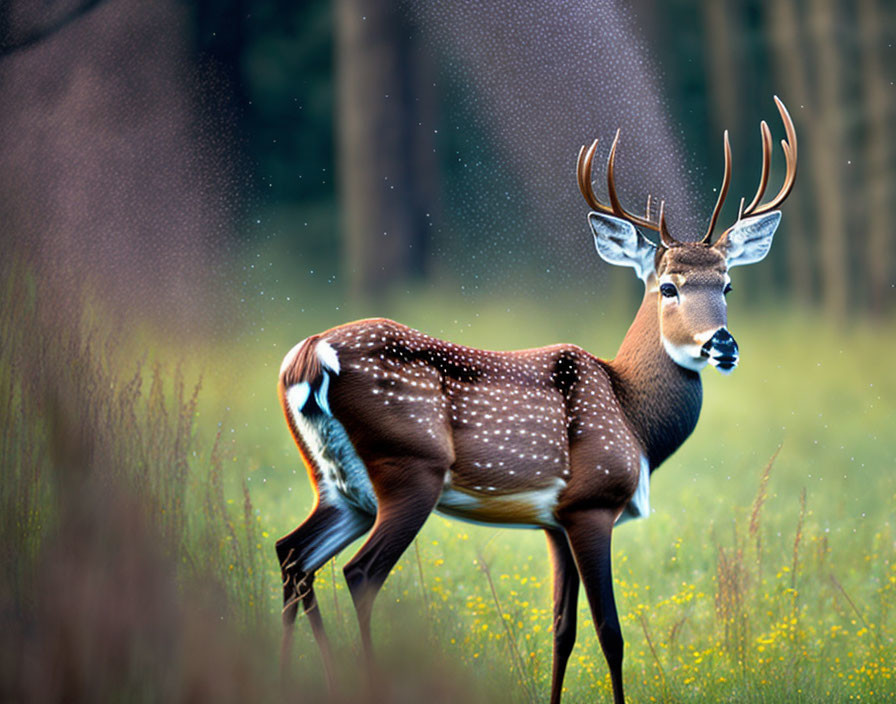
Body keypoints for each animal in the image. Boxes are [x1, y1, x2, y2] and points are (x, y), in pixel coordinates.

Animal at [274, 96, 800, 700]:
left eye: (727, 284)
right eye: (668, 286)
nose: (722, 344)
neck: (633, 418)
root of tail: (308, 355)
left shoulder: (554, 520)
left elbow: (562, 630)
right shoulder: (591, 501)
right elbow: (610, 631)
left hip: (339, 485)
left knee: (292, 555)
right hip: (409, 467)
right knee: (358, 574)